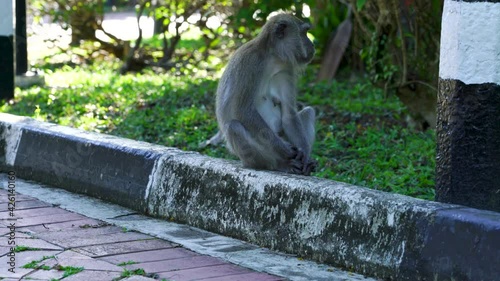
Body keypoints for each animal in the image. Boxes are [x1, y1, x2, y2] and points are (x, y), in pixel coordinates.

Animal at [214, 13, 316, 175]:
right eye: (305, 33)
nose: (313, 45)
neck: (272, 58)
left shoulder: (286, 69)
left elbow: (289, 114)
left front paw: (304, 154)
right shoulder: (250, 63)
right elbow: (243, 111)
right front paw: (286, 150)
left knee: (308, 112)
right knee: (234, 127)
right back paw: (278, 164)